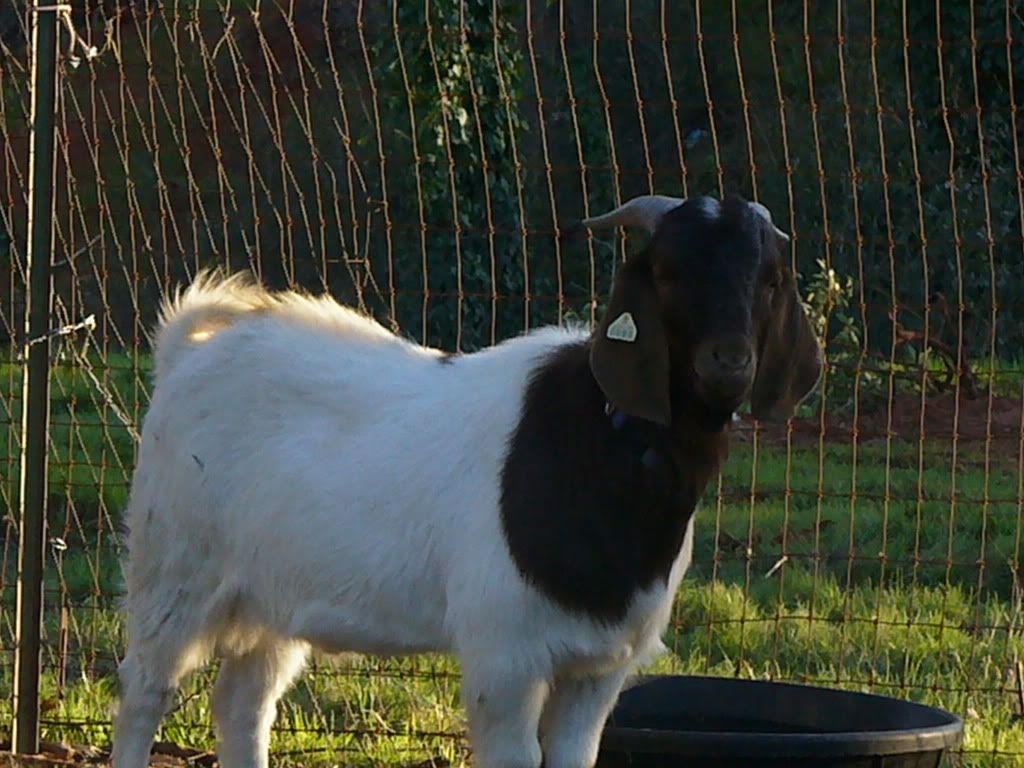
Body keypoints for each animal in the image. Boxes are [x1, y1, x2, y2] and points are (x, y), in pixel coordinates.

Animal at [111, 194, 823, 768]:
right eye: (669, 272)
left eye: (770, 279)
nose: (729, 362)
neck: (607, 450)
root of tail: (188, 350)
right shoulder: (505, 657)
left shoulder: (600, 668)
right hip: (173, 568)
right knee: (145, 691)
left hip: (272, 595)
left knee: (243, 702)